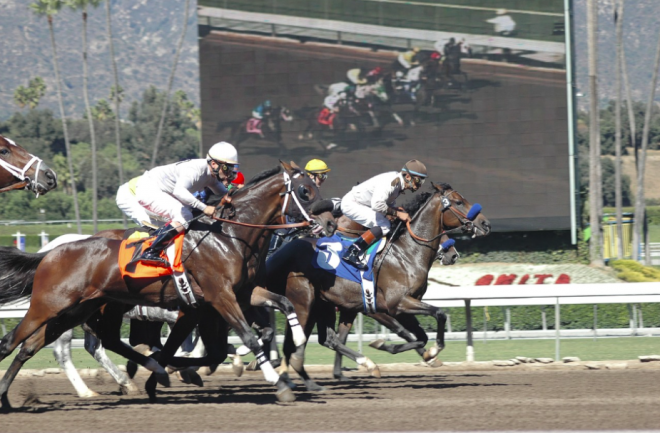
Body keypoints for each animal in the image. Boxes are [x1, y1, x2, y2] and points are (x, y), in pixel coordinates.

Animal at [0, 163, 338, 408]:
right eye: (304, 191)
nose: (330, 222)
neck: (230, 236)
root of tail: (50, 253)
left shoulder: (242, 293)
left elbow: (282, 304)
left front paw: (295, 339)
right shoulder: (219, 297)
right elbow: (246, 338)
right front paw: (277, 381)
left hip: (78, 309)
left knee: (35, 345)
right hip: (49, 305)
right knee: (13, 341)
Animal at [266, 182, 488, 388]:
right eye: (458, 202)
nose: (485, 223)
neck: (407, 253)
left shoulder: (403, 306)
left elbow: (419, 336)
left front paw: (409, 351)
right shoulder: (393, 304)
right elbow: (435, 316)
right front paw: (432, 351)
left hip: (324, 304)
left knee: (328, 339)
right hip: (304, 301)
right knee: (298, 337)